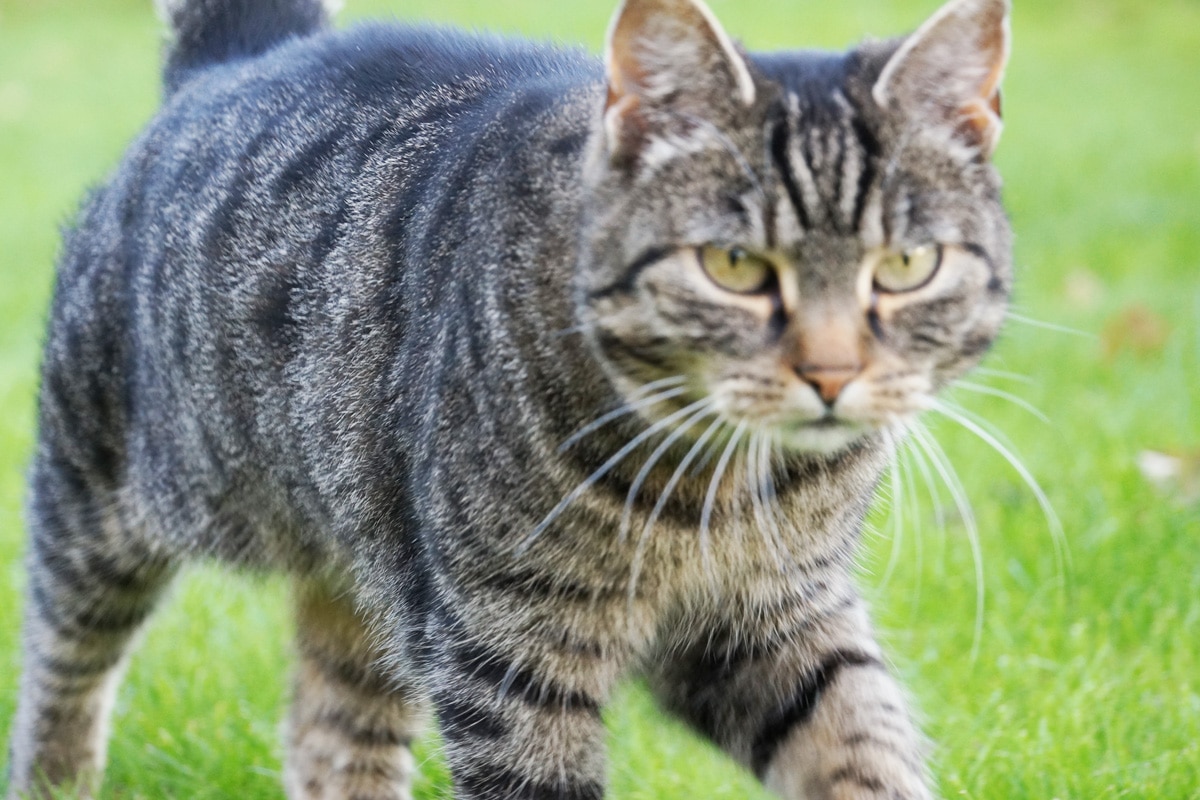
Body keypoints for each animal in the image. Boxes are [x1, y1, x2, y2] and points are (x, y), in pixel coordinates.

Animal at [4, 0, 1017, 796]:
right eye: (733, 265)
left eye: (907, 265)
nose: (833, 375)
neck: (723, 484)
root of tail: (243, 57)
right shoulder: (506, 648)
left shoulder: (772, 619)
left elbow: (864, 743)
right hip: (101, 493)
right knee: (62, 660)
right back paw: (54, 778)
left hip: (370, 566)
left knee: (330, 732)